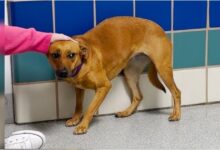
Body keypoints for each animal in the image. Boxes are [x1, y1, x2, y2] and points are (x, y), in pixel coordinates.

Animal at [48, 16, 180, 135]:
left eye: (71, 55)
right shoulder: (79, 89)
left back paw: (177, 115)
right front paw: (75, 119)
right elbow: (78, 106)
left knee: (176, 92)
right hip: (130, 73)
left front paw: (83, 125)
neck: (82, 63)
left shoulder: (104, 86)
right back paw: (126, 112)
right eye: (55, 55)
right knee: (138, 96)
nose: (63, 73)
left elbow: (90, 108)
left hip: (162, 69)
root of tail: (160, 29)